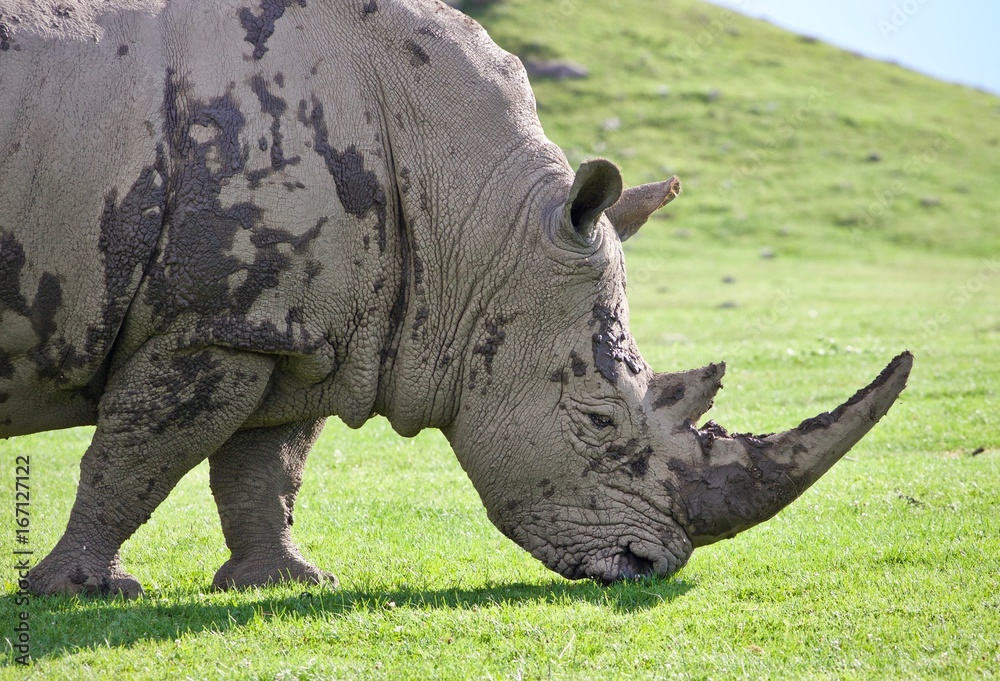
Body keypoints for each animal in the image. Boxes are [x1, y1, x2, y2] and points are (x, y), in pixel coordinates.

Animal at [0, 0, 911, 597]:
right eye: (597, 420)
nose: (648, 569)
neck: (474, 220)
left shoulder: (284, 324)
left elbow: (265, 465)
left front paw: (283, 582)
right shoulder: (210, 324)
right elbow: (135, 457)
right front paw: (79, 592)